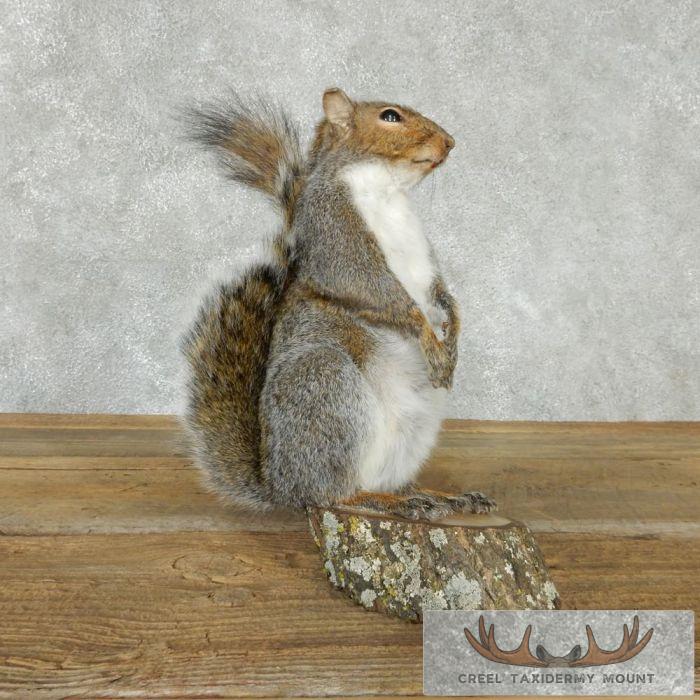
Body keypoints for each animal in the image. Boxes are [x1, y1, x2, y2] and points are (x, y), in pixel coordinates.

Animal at [182, 88, 496, 521]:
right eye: (390, 116)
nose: (449, 142)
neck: (387, 191)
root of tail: (280, 487)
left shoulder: (425, 258)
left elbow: (441, 294)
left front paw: (452, 342)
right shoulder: (336, 236)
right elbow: (381, 293)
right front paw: (431, 343)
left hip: (414, 428)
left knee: (386, 481)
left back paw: (437, 497)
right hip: (327, 390)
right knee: (329, 494)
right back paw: (376, 500)